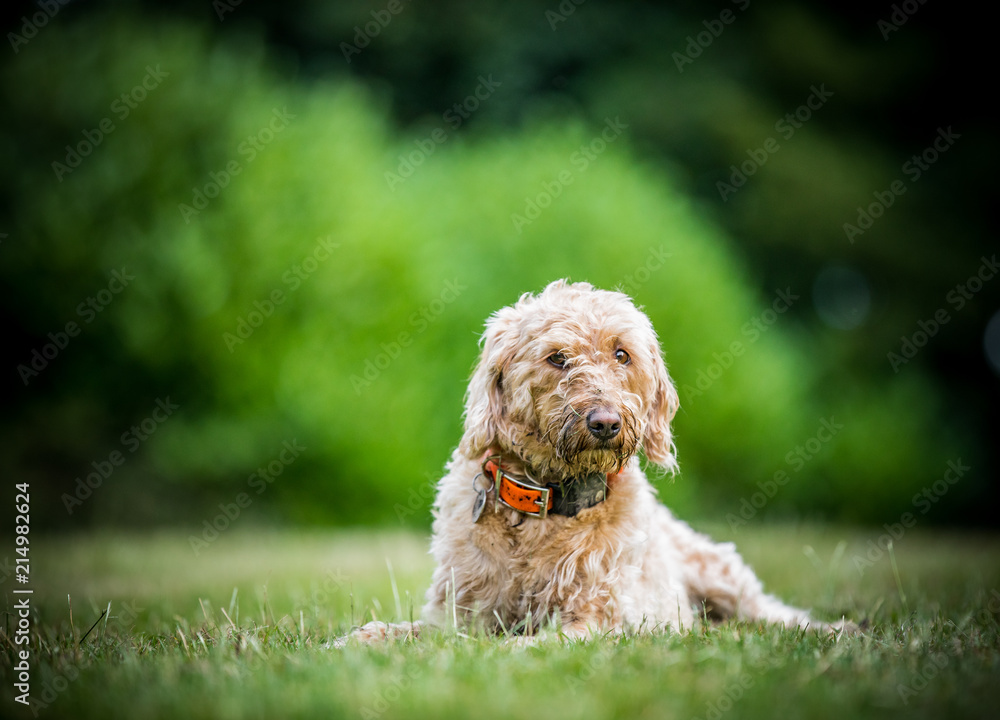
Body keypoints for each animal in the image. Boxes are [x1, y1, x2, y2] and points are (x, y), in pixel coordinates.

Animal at [340, 278, 848, 644]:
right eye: (557, 358)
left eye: (622, 354)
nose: (606, 423)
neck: (546, 498)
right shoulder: (462, 613)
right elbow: (403, 632)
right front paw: (347, 644)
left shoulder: (596, 618)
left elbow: (521, 646)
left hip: (722, 577)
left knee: (776, 614)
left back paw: (837, 631)